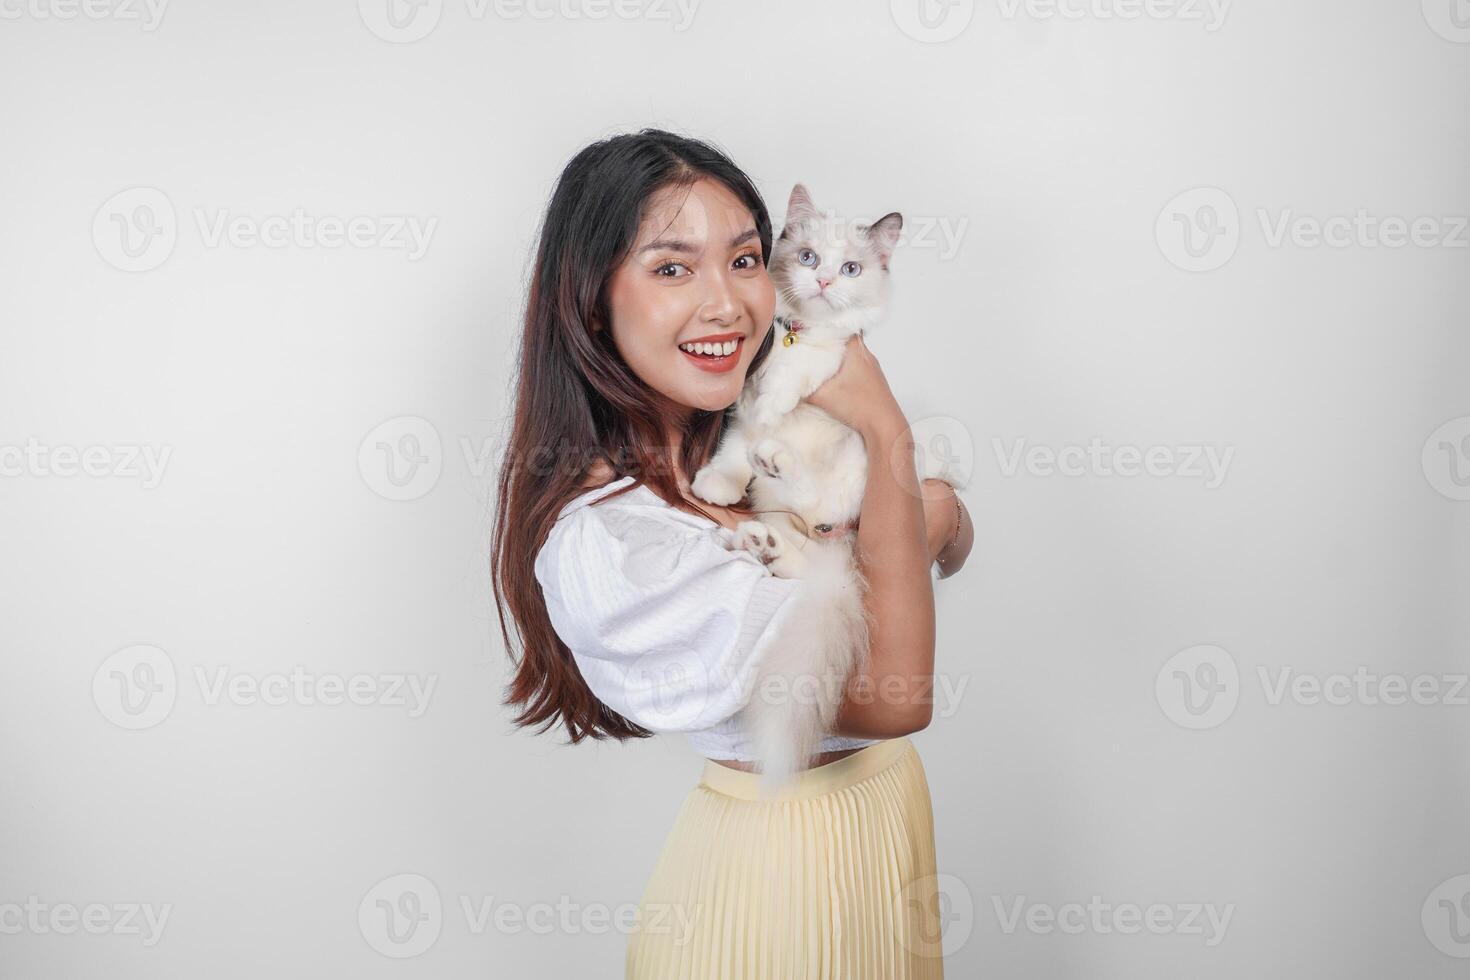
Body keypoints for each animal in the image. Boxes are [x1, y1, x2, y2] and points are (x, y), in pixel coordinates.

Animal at [693, 183, 899, 799]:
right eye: (808, 258)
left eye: (850, 268)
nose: (825, 281)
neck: (794, 334)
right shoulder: (737, 415)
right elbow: (733, 450)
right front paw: (716, 483)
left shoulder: (832, 359)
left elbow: (793, 379)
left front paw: (777, 401)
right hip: (786, 518)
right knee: (795, 548)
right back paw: (759, 541)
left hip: (855, 466)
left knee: (814, 495)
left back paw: (777, 466)